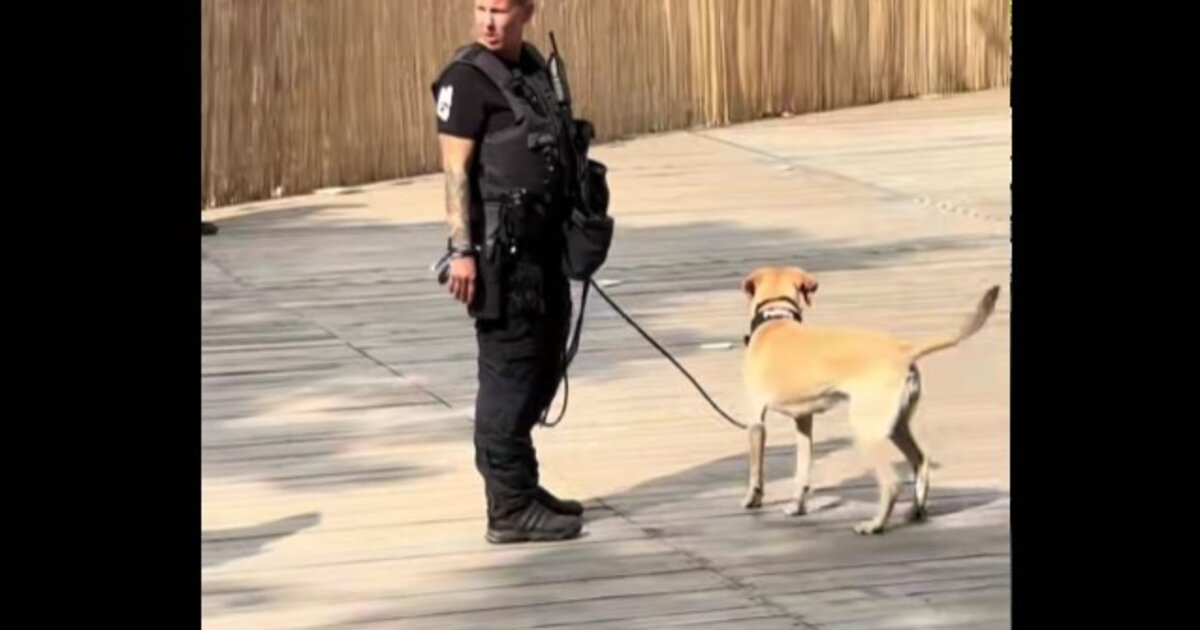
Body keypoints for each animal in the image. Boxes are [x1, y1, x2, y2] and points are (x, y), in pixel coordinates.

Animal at [740, 266, 1000, 535]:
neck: (776, 318)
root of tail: (903, 350)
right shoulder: (803, 420)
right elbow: (802, 470)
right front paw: (797, 506)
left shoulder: (756, 420)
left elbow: (756, 470)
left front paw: (753, 499)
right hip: (897, 425)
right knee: (920, 460)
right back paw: (916, 511)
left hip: (866, 428)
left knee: (891, 483)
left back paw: (874, 525)